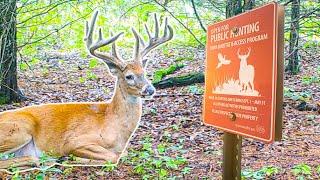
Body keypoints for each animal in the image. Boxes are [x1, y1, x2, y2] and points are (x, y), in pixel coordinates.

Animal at [0, 11, 174, 169]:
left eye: (144, 72)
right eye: (129, 76)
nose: (150, 89)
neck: (114, 127)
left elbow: (121, 154)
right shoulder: (74, 141)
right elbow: (113, 158)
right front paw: (72, 159)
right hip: (19, 130)